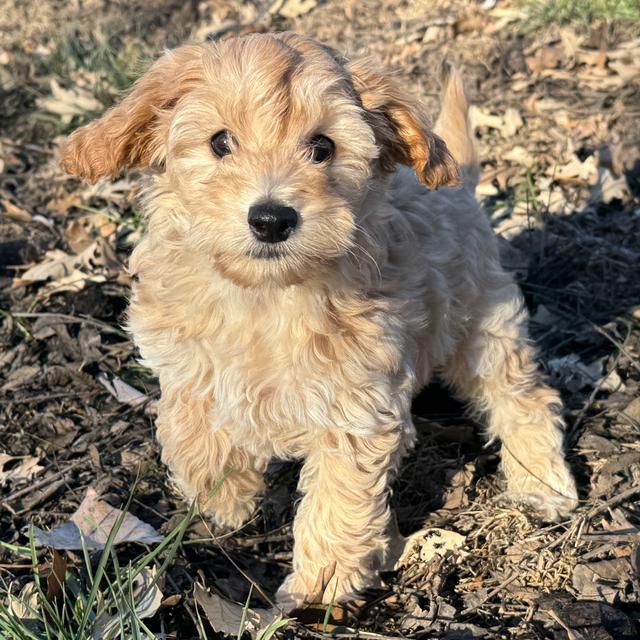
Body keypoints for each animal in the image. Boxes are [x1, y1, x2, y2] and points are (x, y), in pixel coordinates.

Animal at [61, 33, 580, 608]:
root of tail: (460, 190)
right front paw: (224, 499)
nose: (271, 219)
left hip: (481, 325)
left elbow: (339, 494)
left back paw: (541, 483)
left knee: (524, 397)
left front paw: (321, 583)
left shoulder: (355, 403)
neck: (263, 295)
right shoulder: (187, 364)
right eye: (220, 142)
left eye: (323, 147)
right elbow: (192, 431)